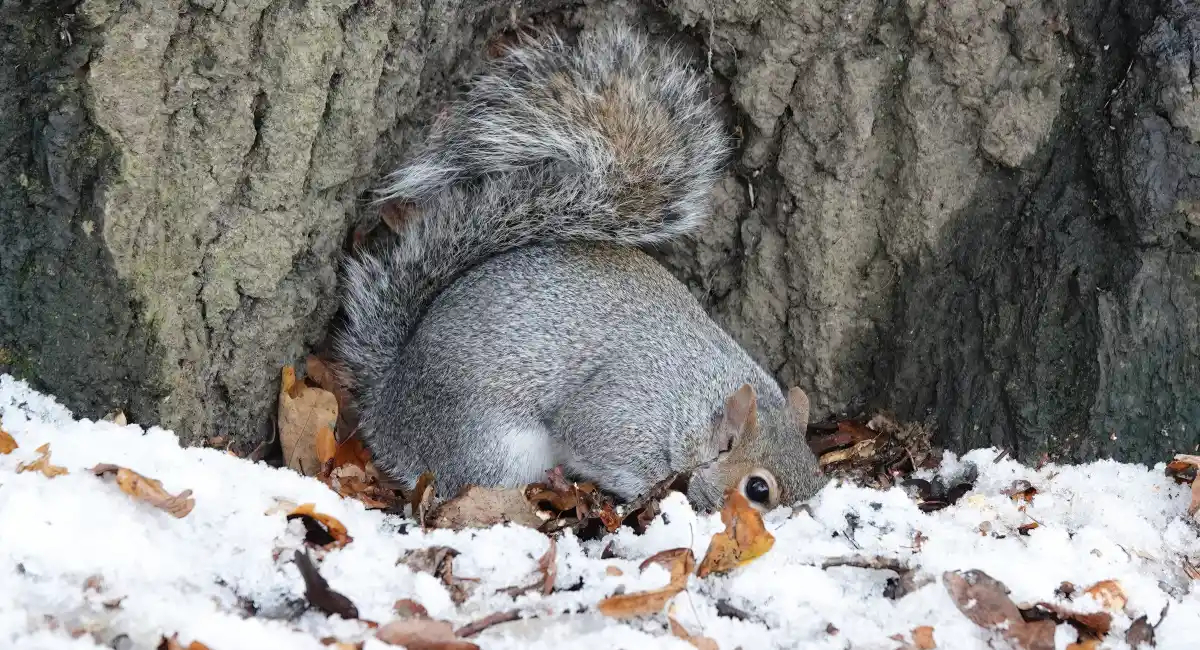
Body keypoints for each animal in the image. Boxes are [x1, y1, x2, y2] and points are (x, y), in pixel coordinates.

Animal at [334, 24, 826, 512]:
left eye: (818, 474)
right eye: (757, 489)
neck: (699, 400)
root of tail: (389, 403)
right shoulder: (621, 414)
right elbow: (595, 440)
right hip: (490, 445)